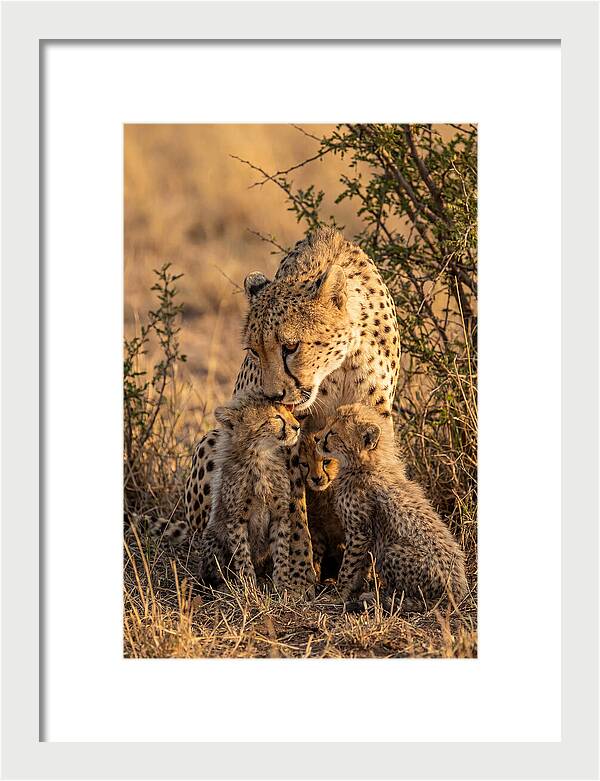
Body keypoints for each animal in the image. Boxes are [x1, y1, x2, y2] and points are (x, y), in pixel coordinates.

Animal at [198, 390, 300, 590]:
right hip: (212, 537)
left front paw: (282, 584)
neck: (260, 458)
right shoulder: (236, 519)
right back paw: (224, 585)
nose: (297, 426)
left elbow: (281, 550)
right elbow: (242, 553)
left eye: (288, 412)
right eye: (276, 417)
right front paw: (248, 586)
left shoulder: (280, 515)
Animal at [317, 403, 468, 612]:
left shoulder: (359, 532)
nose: (316, 438)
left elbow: (348, 566)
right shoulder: (366, 535)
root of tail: (457, 592)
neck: (365, 464)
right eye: (327, 425)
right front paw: (354, 589)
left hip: (392, 551)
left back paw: (379, 597)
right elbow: (361, 565)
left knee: (413, 596)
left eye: (333, 432)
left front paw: (338, 594)